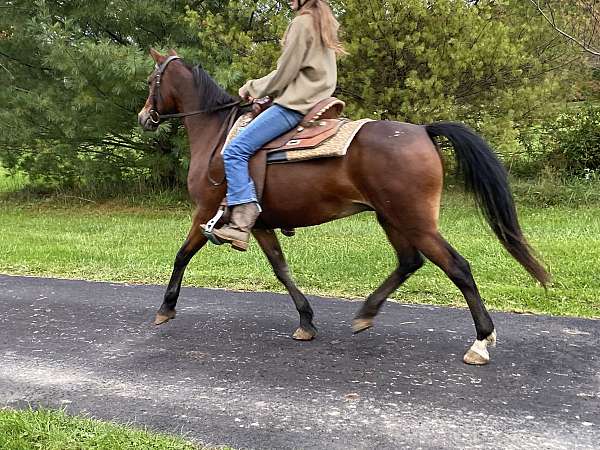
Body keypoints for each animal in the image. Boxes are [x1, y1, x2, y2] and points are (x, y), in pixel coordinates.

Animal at [139, 49, 548, 366]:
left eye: (151, 81)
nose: (144, 117)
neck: (217, 135)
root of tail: (422, 131)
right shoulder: (260, 224)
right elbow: (281, 269)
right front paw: (306, 322)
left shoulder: (205, 212)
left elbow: (182, 255)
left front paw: (165, 308)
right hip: (392, 218)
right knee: (409, 262)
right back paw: (366, 314)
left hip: (416, 222)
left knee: (458, 267)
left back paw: (480, 342)